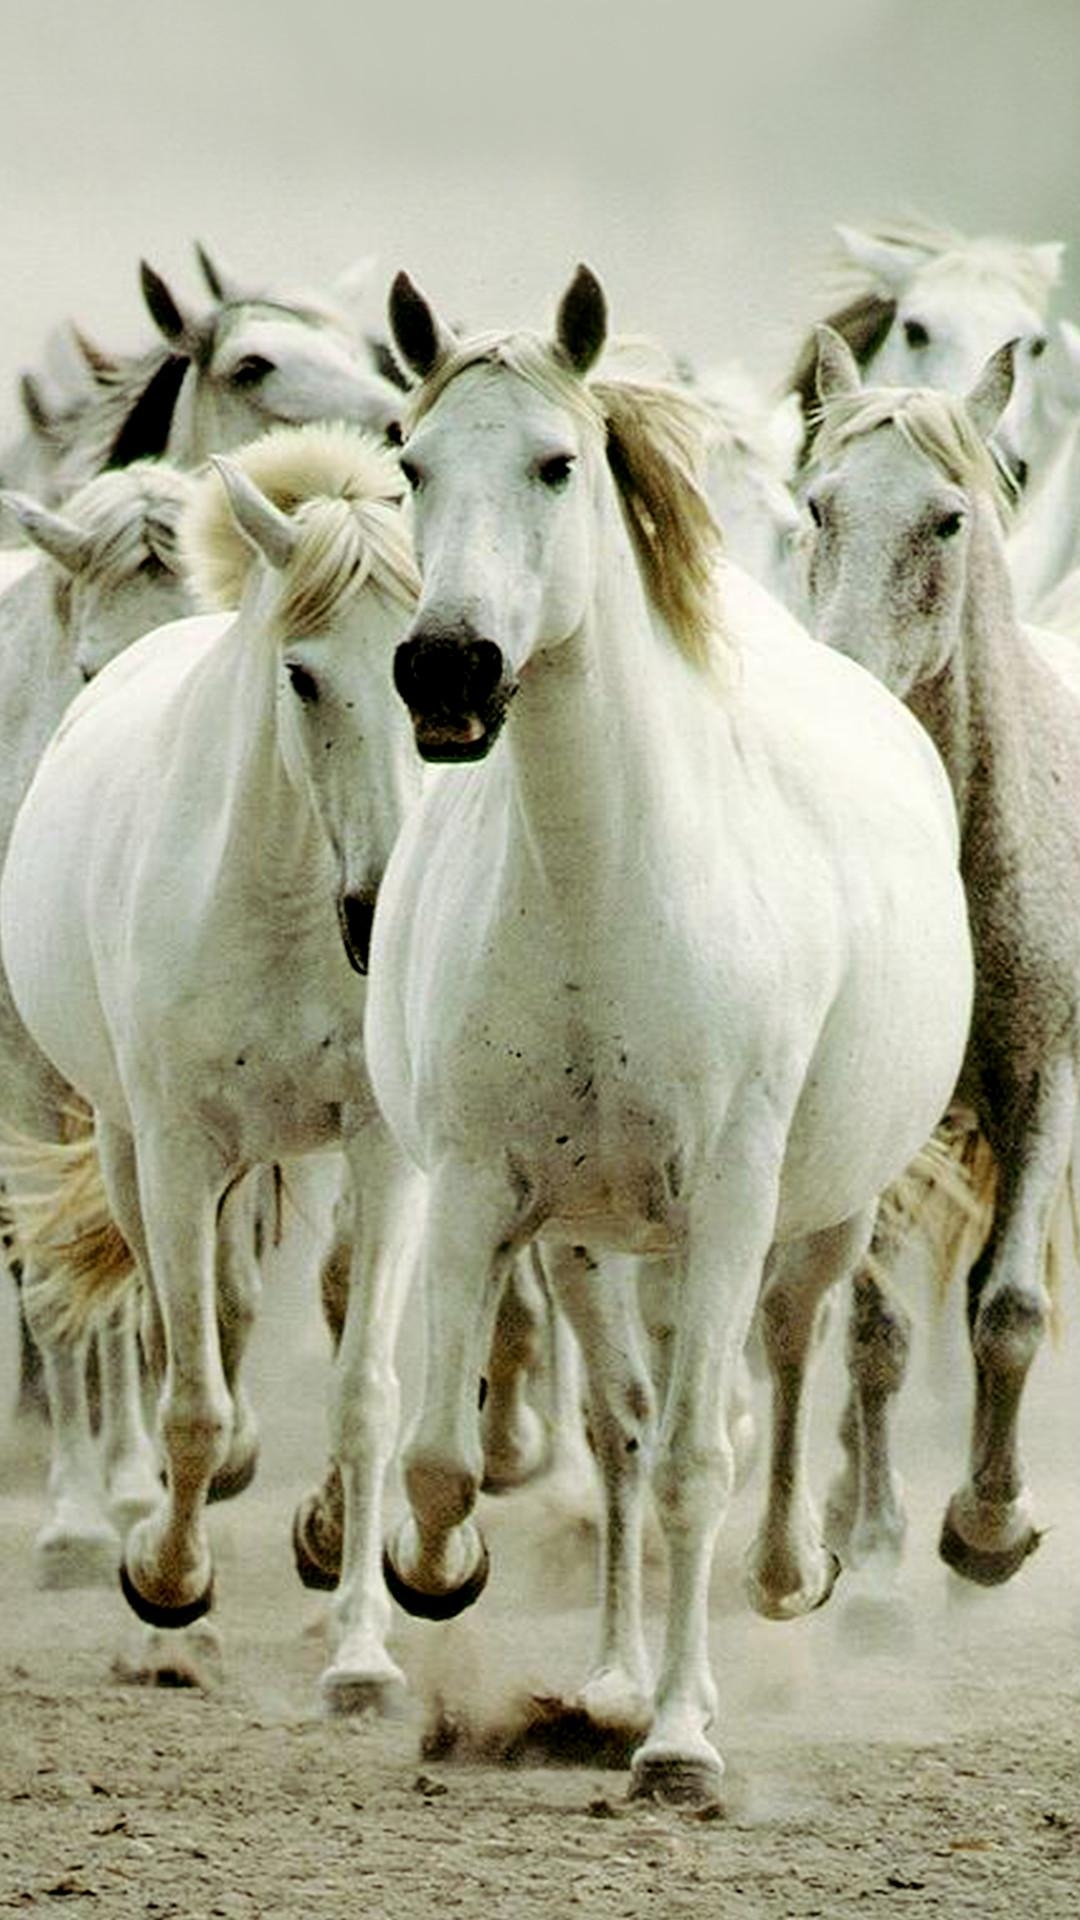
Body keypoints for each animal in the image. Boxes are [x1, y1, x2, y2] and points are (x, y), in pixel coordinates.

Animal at [4, 424, 424, 1712]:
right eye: (303, 676)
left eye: (445, 676)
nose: (380, 916)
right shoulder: (180, 1149)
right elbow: (187, 1392)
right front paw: (169, 1599)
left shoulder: (382, 1150)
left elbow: (363, 1392)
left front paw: (361, 1651)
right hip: (123, 1140)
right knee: (157, 1311)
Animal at [365, 266, 972, 1797]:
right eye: (409, 464)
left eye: (557, 463)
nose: (446, 668)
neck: (600, 887)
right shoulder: (481, 1190)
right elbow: (450, 1457)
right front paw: (437, 1578)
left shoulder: (731, 1202)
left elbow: (707, 1457)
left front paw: (687, 1744)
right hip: (597, 1239)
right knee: (623, 1430)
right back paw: (612, 1680)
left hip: (814, 1212)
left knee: (789, 1359)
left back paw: (785, 1577)